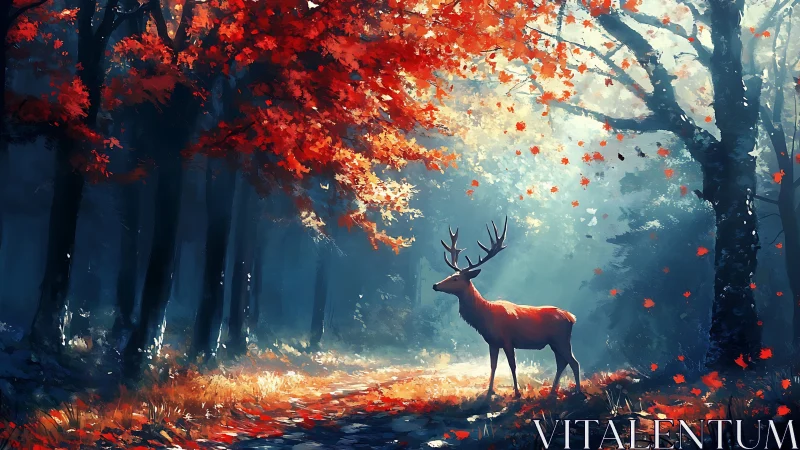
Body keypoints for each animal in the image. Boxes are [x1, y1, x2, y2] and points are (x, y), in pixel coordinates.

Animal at [432, 217, 581, 399]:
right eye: (450, 275)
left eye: (455, 279)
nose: (435, 285)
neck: (485, 317)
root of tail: (572, 317)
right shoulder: (492, 342)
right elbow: (493, 366)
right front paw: (489, 392)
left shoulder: (508, 339)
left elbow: (512, 365)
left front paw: (517, 393)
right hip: (554, 342)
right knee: (562, 363)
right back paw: (552, 392)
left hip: (561, 339)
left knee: (573, 362)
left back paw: (578, 392)